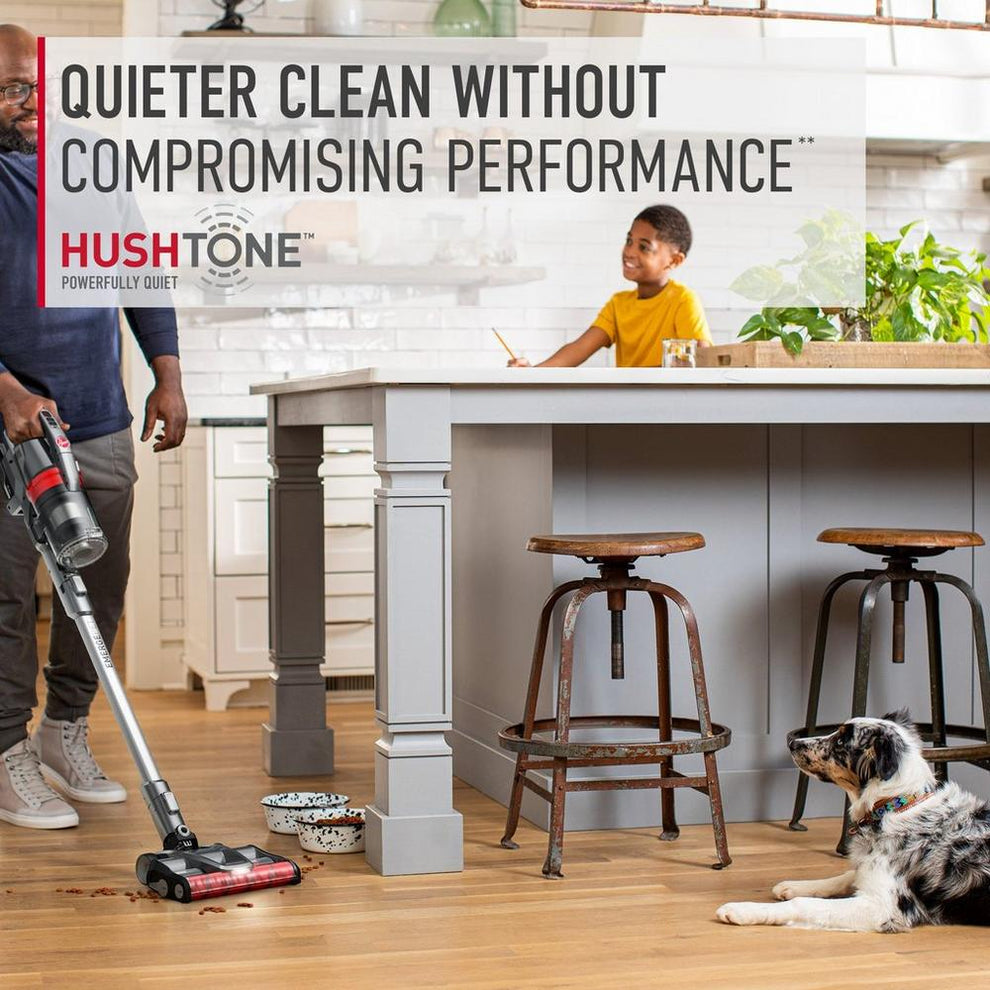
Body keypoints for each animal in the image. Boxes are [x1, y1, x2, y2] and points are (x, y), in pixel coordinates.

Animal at [716, 708, 990, 932]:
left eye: (839, 741)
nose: (792, 742)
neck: (894, 805)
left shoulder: (883, 906)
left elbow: (804, 905)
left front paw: (742, 909)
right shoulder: (868, 870)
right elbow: (847, 875)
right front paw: (794, 885)